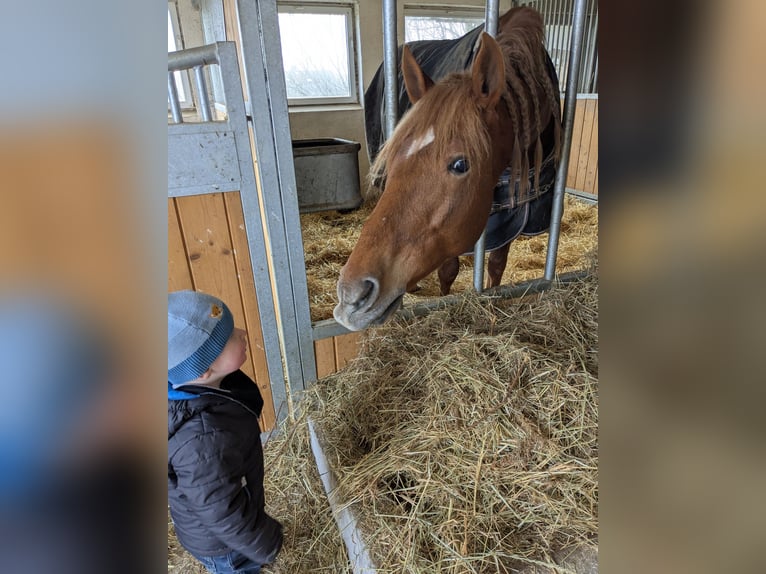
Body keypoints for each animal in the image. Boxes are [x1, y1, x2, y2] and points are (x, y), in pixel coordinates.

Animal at [336, 7, 564, 332]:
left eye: (460, 164)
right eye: (391, 159)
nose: (352, 296)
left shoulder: (511, 217)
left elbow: (496, 267)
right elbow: (448, 272)